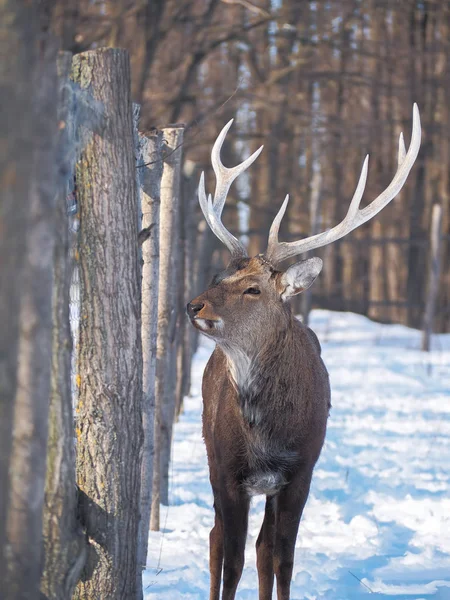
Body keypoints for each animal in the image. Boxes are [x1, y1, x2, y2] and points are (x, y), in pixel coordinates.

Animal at [186, 105, 422, 596]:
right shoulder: (227, 469)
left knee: (261, 548)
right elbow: (232, 558)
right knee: (217, 540)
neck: (267, 435)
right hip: (210, 454)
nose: (193, 304)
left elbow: (282, 558)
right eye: (220, 275)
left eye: (253, 288)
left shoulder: (301, 471)